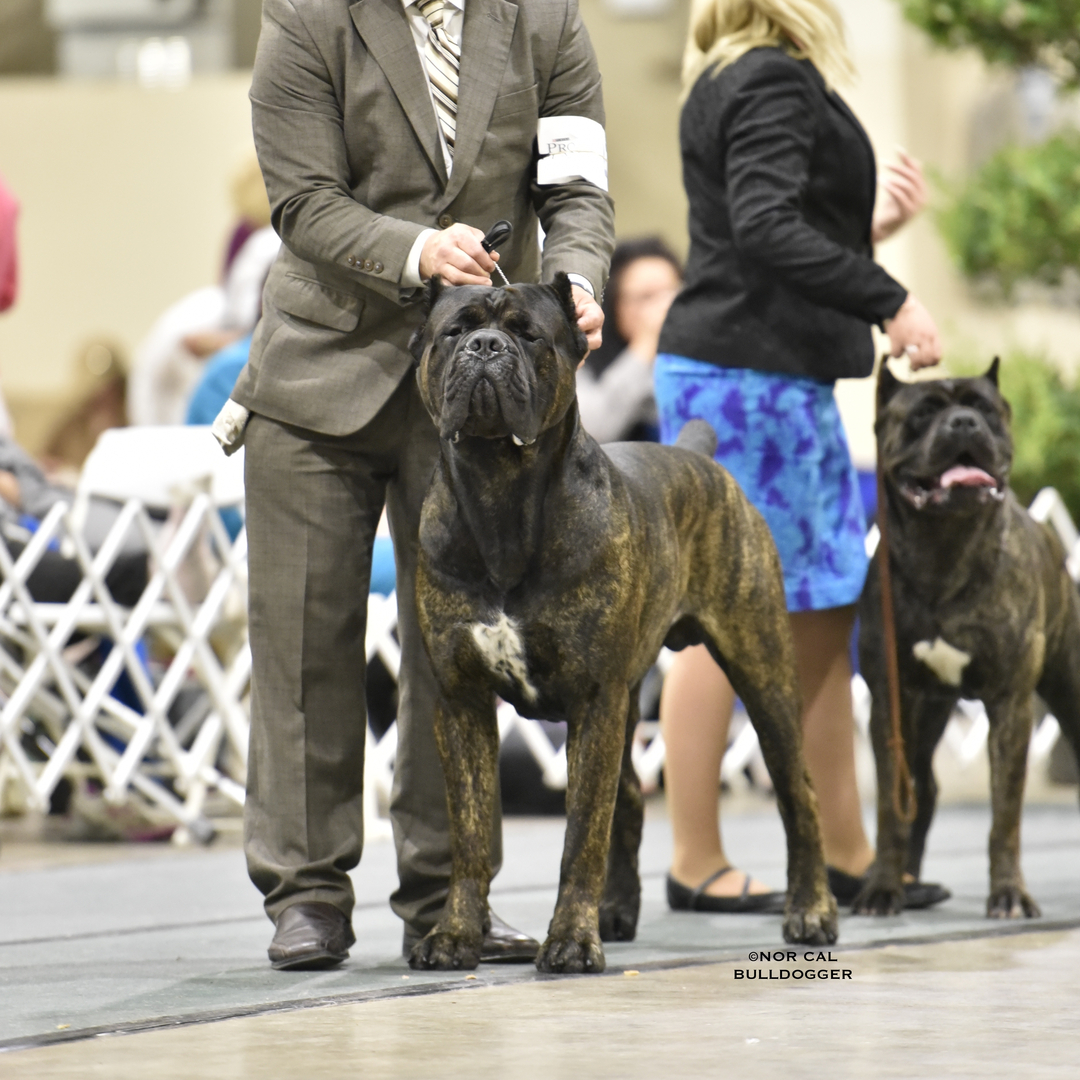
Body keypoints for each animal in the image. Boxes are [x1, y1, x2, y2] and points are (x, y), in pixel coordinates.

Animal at [408, 274, 838, 976]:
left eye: (529, 334)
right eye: (455, 330)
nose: (486, 346)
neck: (500, 490)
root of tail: (698, 457)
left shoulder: (592, 699)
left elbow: (582, 830)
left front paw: (570, 941)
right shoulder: (462, 702)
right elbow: (470, 835)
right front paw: (455, 935)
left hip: (762, 674)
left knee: (798, 793)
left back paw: (812, 911)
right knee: (631, 797)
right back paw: (617, 910)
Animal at [855, 362, 1075, 920]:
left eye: (985, 409)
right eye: (923, 413)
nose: (963, 423)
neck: (945, 548)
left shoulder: (1011, 706)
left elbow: (1005, 816)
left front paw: (1010, 894)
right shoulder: (891, 703)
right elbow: (890, 808)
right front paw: (882, 888)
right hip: (926, 715)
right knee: (923, 789)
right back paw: (908, 883)